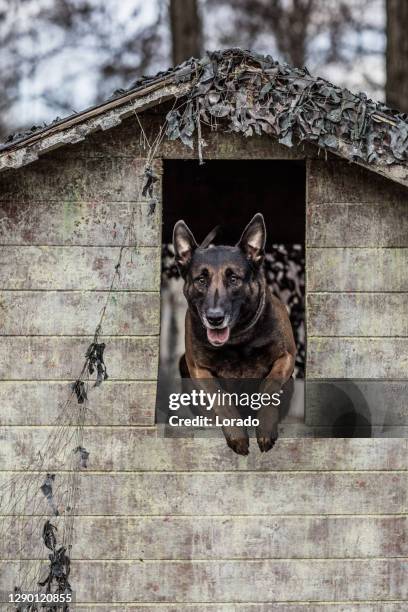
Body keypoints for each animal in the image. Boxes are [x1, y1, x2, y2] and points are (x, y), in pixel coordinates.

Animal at [173, 212, 296, 454]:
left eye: (234, 279)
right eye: (201, 280)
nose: (215, 318)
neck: (237, 338)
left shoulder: (286, 356)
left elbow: (269, 387)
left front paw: (265, 427)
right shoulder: (198, 369)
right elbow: (221, 399)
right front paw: (237, 434)